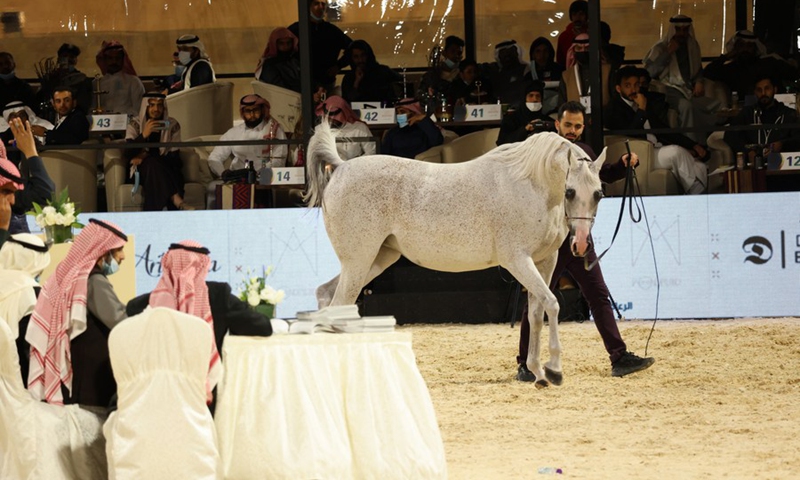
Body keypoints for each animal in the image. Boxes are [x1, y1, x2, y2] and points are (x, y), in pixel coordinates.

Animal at [305, 121, 607, 387]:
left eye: (598, 194)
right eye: (570, 191)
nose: (581, 244)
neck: (531, 185)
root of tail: (341, 167)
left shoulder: (545, 261)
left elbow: (535, 312)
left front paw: (538, 372)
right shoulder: (518, 260)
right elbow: (553, 304)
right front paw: (554, 370)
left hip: (375, 260)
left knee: (326, 295)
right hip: (359, 261)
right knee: (338, 304)